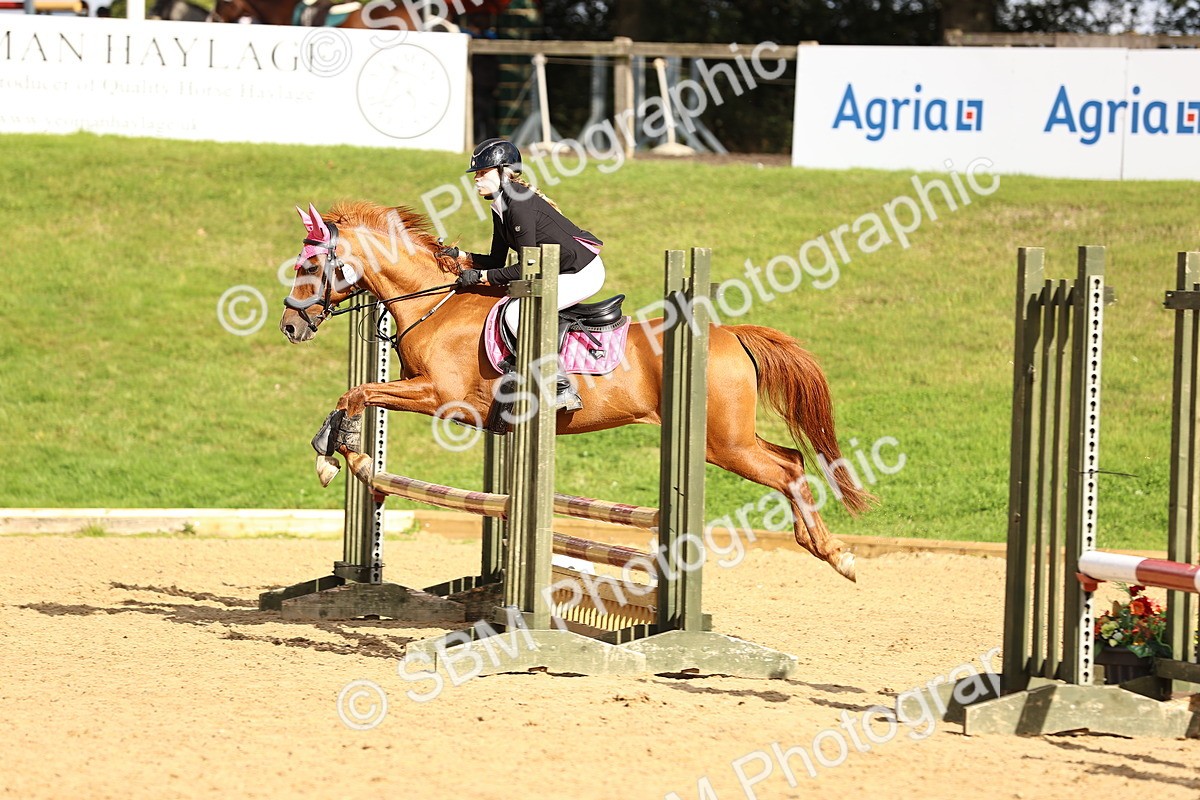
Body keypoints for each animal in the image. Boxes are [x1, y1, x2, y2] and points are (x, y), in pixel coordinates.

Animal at [279, 201, 874, 581]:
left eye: (310, 264)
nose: (289, 326)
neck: (434, 304)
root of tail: (729, 334)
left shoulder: (442, 397)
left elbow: (359, 394)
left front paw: (345, 459)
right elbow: (352, 394)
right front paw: (335, 452)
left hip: (721, 443)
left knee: (788, 470)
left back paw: (835, 555)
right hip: (729, 438)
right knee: (791, 458)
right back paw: (819, 545)